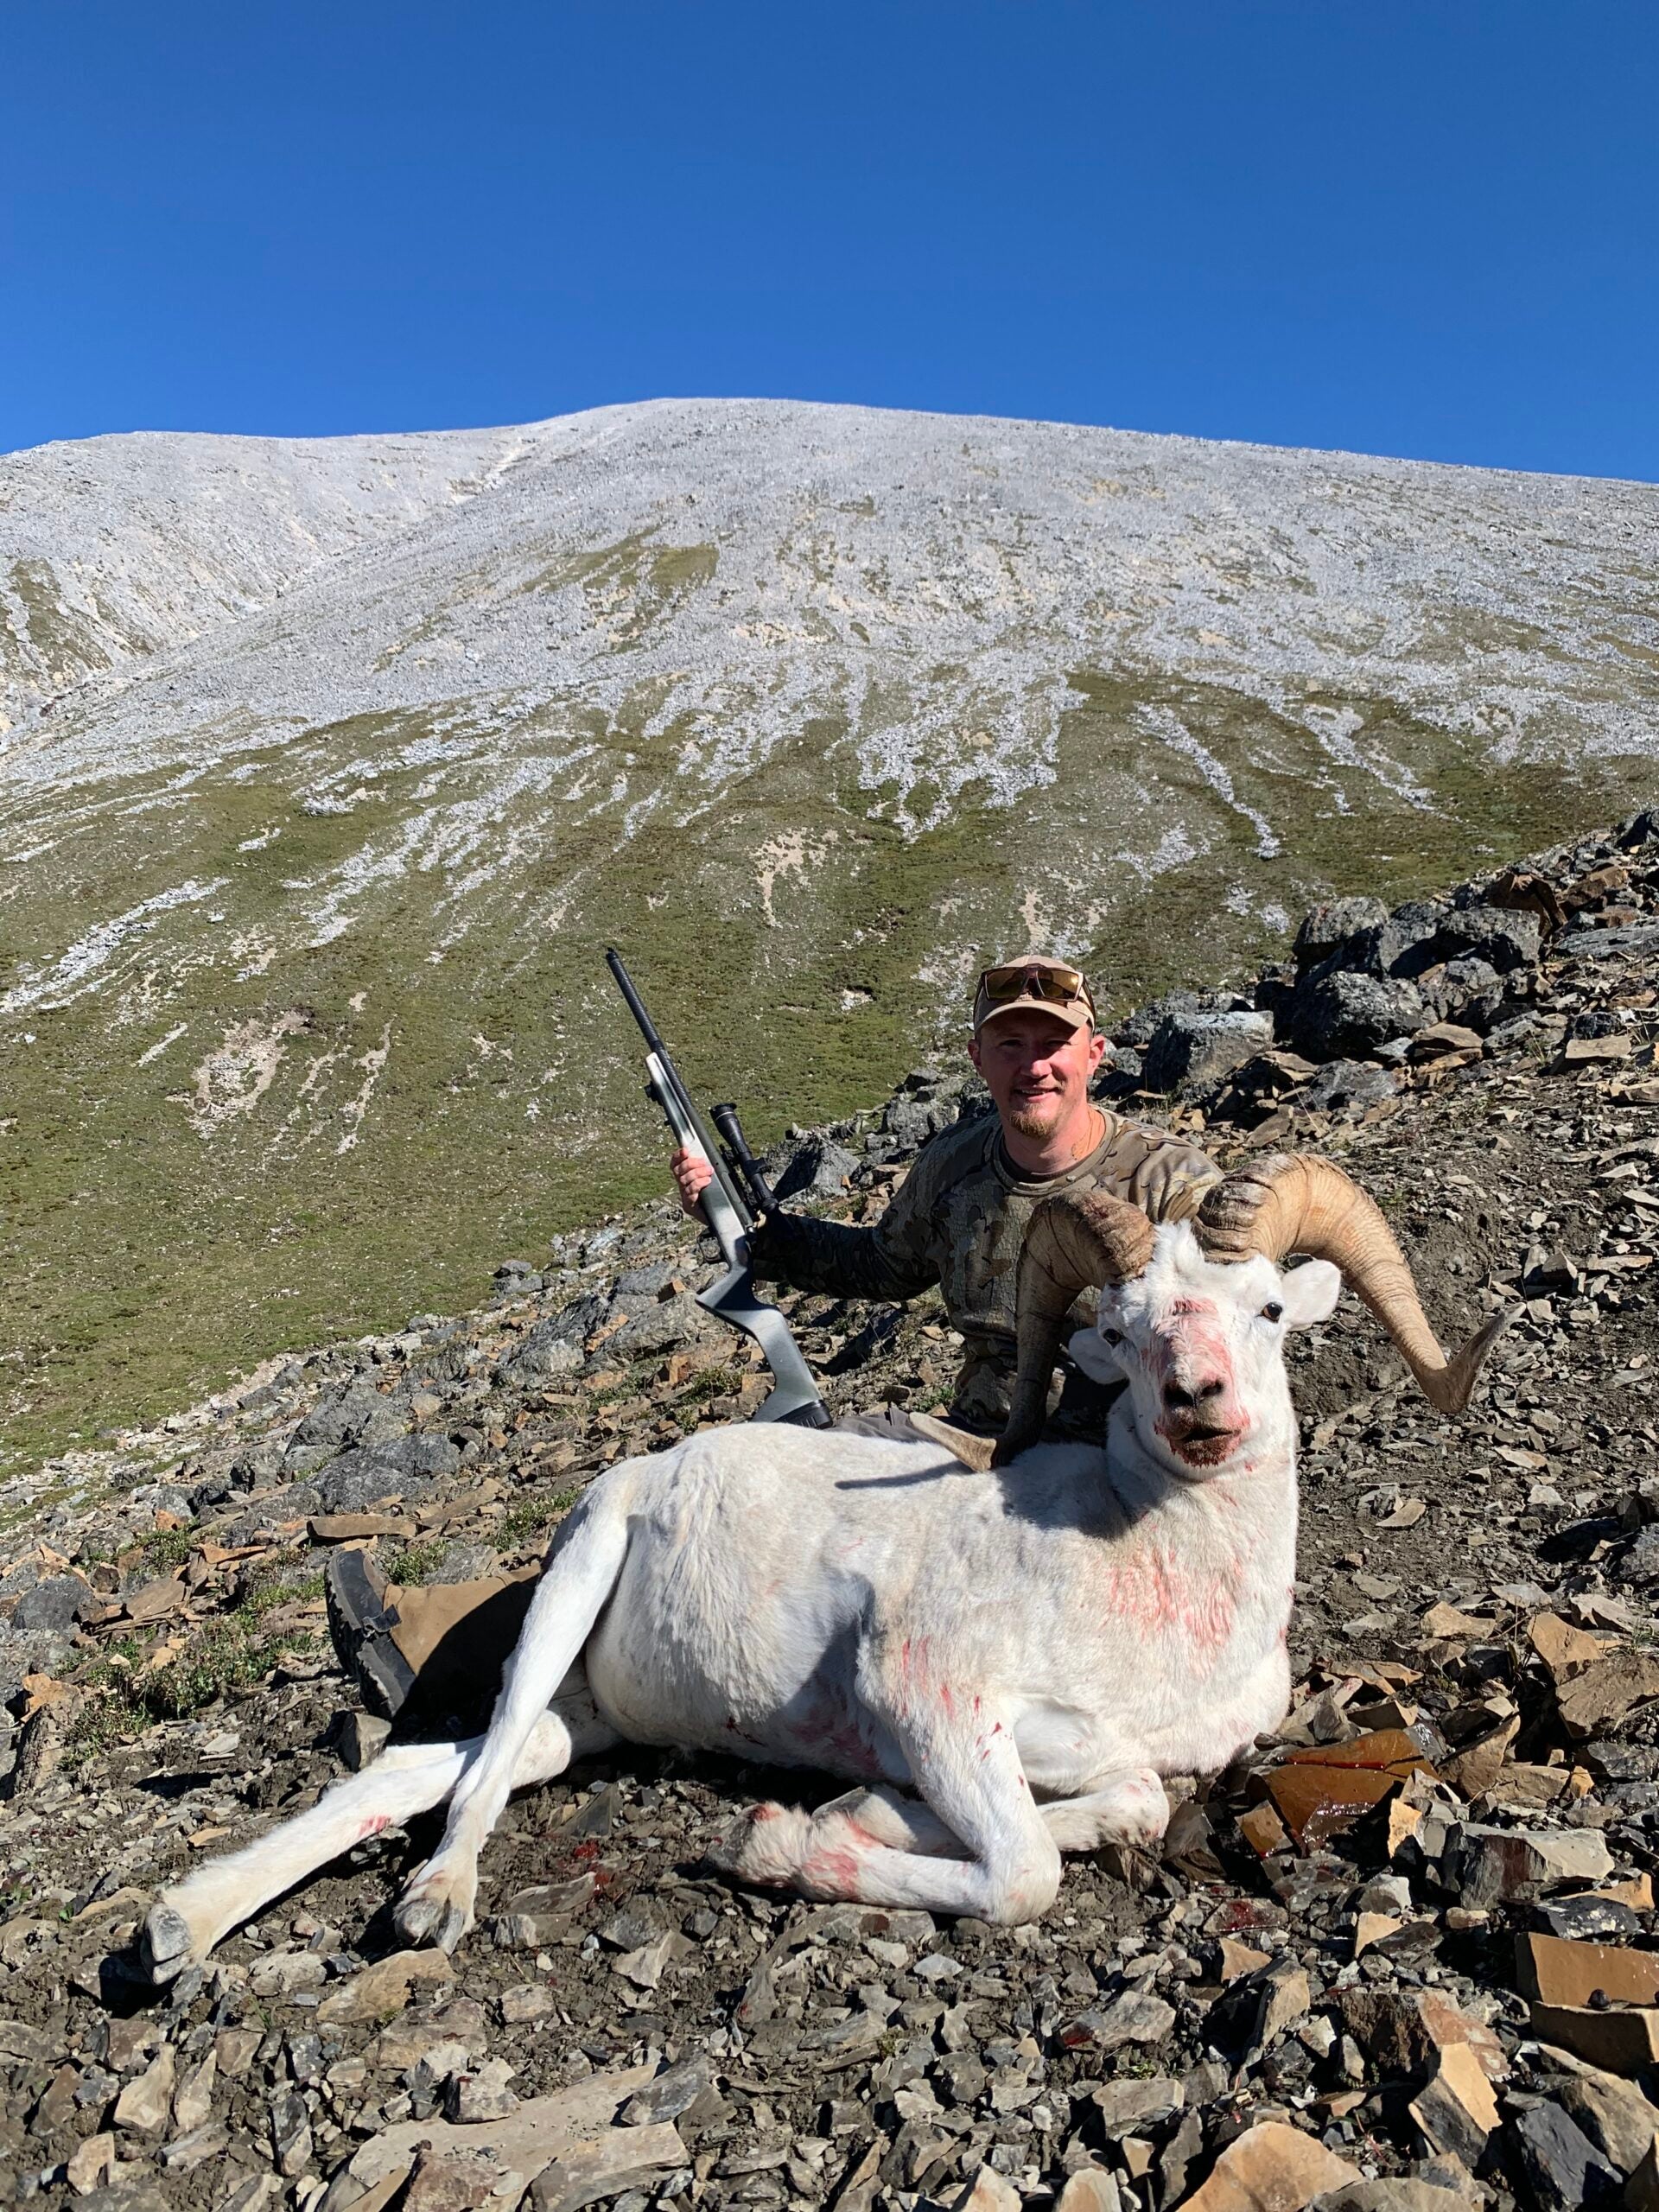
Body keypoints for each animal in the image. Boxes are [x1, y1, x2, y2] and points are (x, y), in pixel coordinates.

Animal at [143, 1153, 1508, 1978]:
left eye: (1269, 1309)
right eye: (1121, 1332)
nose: (1199, 1401)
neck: (1157, 1594)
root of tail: (650, 1469)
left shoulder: (1063, 1743)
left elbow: (1123, 1801)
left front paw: (857, 1812)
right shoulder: (933, 1699)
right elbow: (1023, 1872)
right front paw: (783, 1847)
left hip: (590, 1721)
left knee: (435, 1768)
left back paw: (171, 1931)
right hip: (572, 1590)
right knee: (469, 1783)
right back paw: (428, 1906)